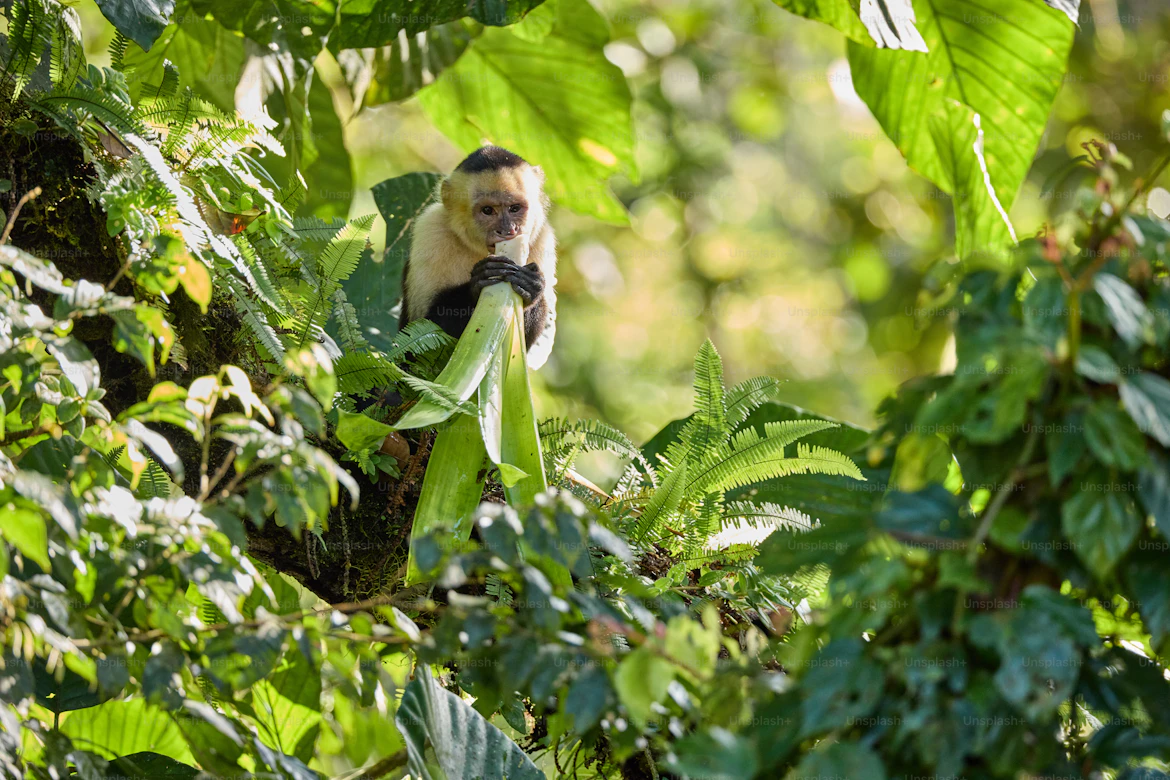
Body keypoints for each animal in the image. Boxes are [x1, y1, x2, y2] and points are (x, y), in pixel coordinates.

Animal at [398, 145, 557, 369]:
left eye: (514, 208)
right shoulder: (430, 229)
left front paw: (530, 285)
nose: (507, 230)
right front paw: (480, 280)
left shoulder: (543, 238)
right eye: (487, 210)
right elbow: (421, 330)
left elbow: (521, 345)